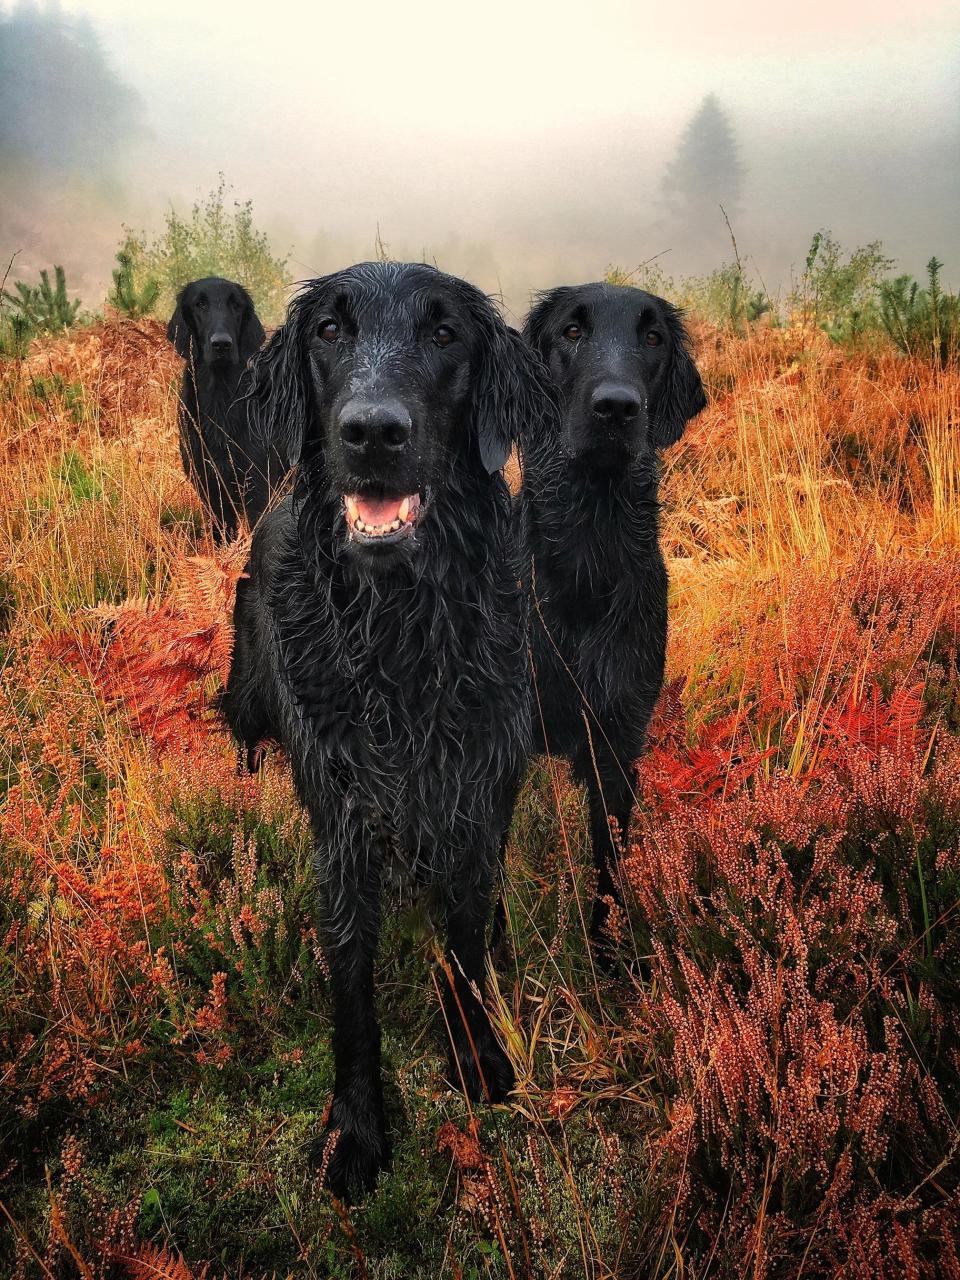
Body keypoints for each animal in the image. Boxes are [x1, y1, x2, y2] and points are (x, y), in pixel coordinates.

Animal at [167, 277, 285, 537]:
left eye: (236, 305)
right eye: (200, 303)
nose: (221, 344)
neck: (220, 398)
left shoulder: (258, 484)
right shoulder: (208, 485)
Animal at [220, 259, 555, 1198]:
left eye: (444, 334)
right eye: (330, 331)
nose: (372, 431)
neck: (399, 633)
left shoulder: (476, 801)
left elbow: (466, 949)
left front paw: (477, 1059)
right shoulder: (344, 828)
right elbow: (352, 994)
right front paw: (357, 1132)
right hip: (250, 681)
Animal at [522, 285, 711, 957]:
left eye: (652, 338)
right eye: (572, 331)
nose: (616, 408)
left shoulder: (618, 736)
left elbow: (609, 863)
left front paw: (610, 957)